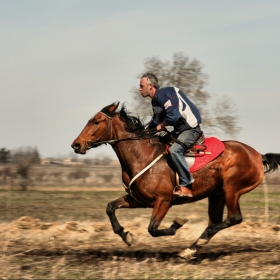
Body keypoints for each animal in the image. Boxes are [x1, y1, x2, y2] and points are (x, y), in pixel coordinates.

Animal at [71, 101, 280, 260]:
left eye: (96, 121)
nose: (76, 145)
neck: (142, 155)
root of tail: (257, 155)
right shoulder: (139, 200)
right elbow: (110, 207)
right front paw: (126, 236)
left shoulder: (163, 201)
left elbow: (153, 229)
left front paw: (177, 224)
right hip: (217, 195)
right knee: (215, 222)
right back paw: (191, 249)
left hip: (232, 190)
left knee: (234, 218)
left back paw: (189, 248)